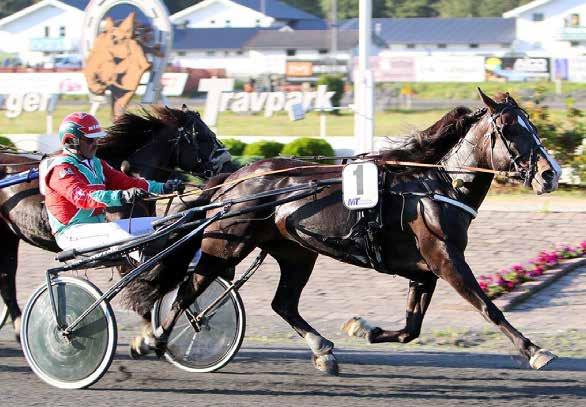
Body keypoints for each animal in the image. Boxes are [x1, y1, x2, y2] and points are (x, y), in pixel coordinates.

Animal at [0, 105, 234, 342]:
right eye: (204, 137)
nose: (230, 164)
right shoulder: (123, 250)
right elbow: (141, 281)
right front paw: (149, 334)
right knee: (7, 279)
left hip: (8, 236)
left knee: (6, 276)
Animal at [144, 90, 560, 376]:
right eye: (509, 129)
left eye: (533, 126)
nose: (549, 174)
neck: (437, 185)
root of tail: (234, 177)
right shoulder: (444, 258)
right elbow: (488, 306)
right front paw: (534, 350)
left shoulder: (423, 270)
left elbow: (411, 328)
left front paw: (364, 329)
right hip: (225, 245)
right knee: (189, 289)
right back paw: (154, 337)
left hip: (296, 252)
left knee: (284, 303)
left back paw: (322, 349)